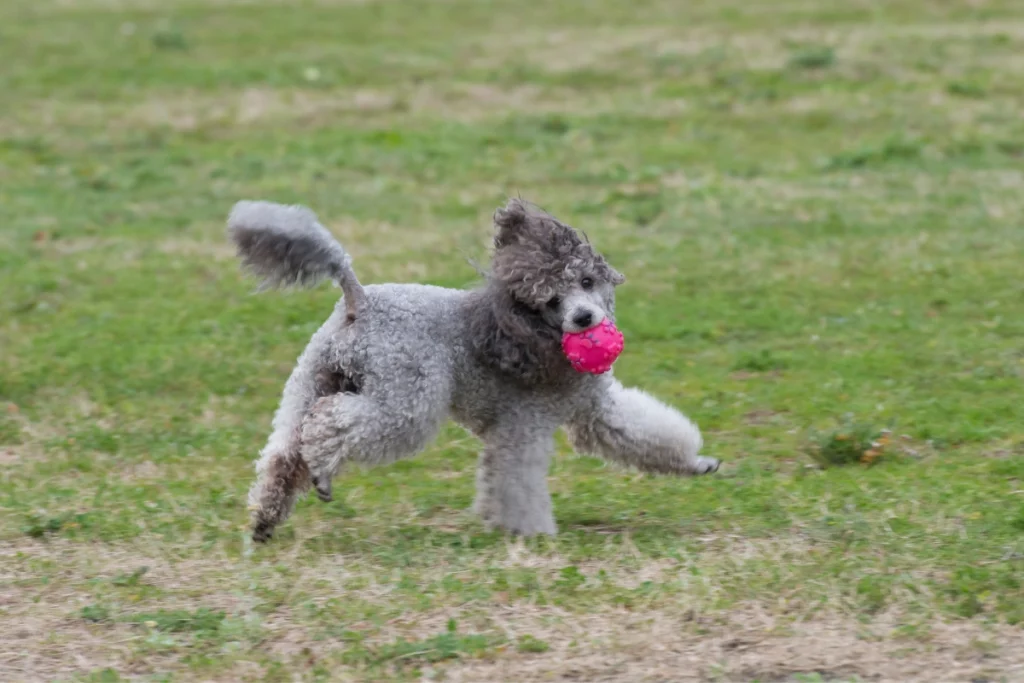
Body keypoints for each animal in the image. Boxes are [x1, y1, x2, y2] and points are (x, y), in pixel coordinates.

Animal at [227, 197, 716, 544]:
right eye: (550, 300)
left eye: (586, 282)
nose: (583, 319)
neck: (533, 337)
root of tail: (358, 300)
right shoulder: (522, 426)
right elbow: (519, 479)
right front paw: (532, 535)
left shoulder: (596, 412)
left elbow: (644, 434)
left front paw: (698, 463)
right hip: (406, 398)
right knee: (329, 423)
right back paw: (323, 473)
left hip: (311, 379)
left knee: (285, 452)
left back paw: (266, 520)